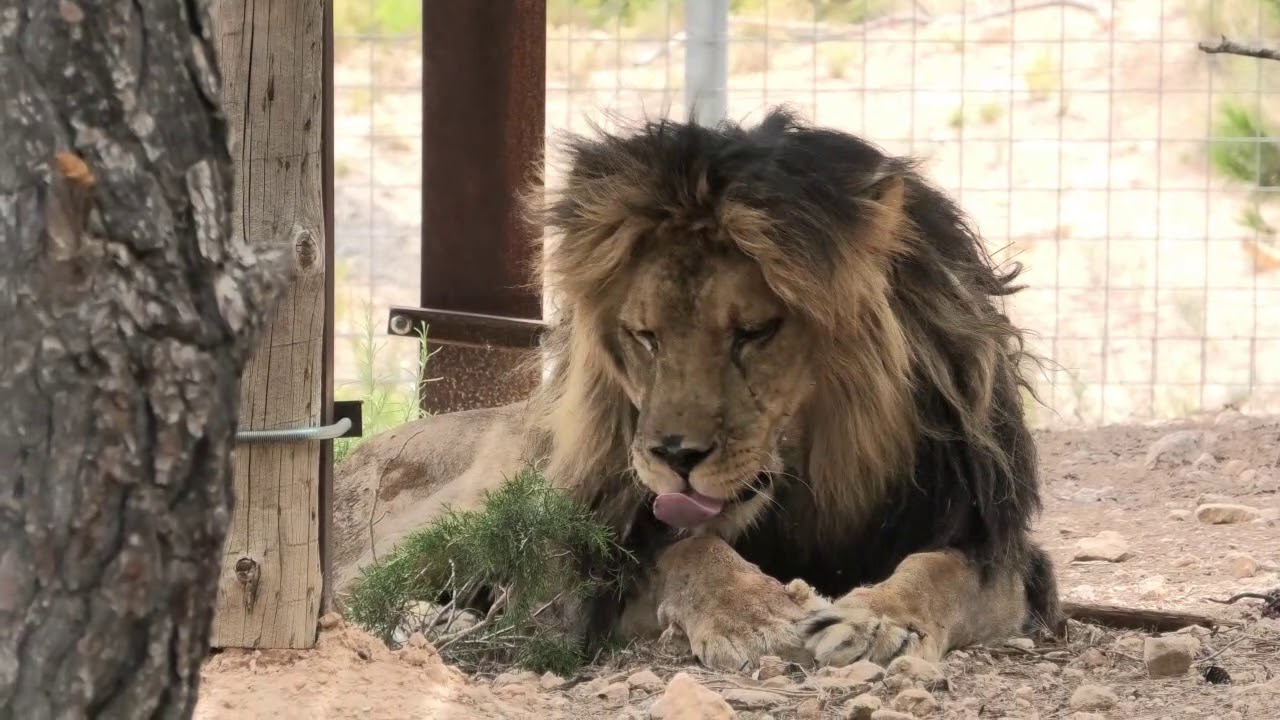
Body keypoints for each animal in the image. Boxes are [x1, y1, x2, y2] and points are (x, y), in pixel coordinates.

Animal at [334, 106, 1060, 672]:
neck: (812, 488)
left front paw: (881, 623)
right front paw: (758, 613)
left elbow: (941, 572)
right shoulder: (587, 562)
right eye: (644, 335)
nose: (674, 457)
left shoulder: (994, 548)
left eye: (755, 331)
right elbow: (689, 551)